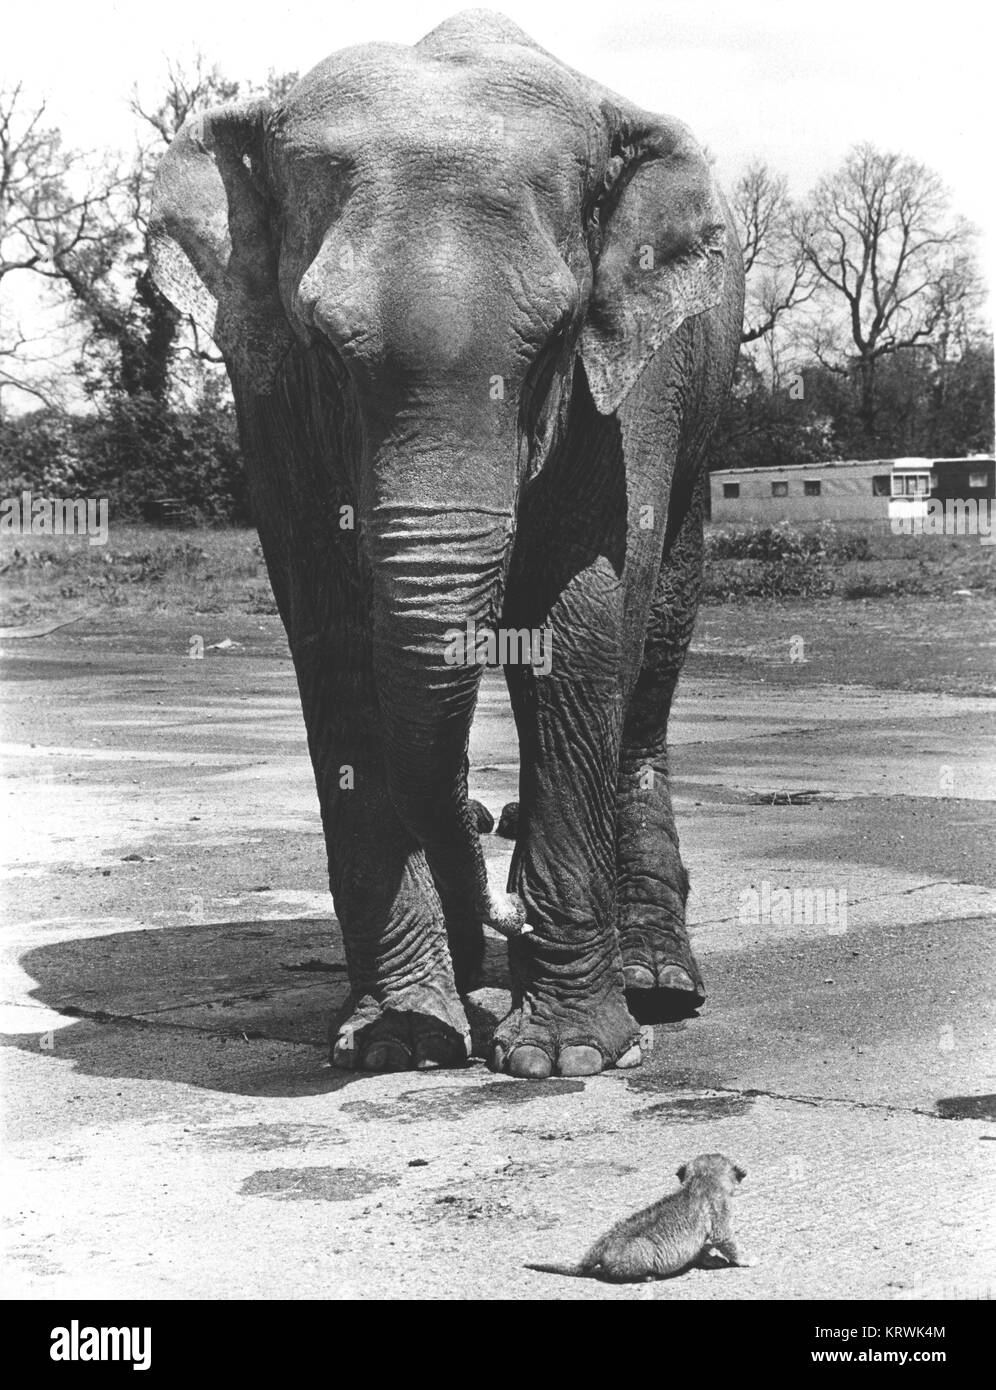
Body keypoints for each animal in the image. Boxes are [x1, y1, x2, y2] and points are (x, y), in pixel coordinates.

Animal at [147, 5, 739, 1078]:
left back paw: (655, 989)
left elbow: (582, 620)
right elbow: (332, 626)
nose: (484, 819)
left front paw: (567, 1061)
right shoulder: (268, 382)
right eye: (322, 343)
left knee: (655, 649)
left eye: (553, 342)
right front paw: (400, 1040)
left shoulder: (630, 382)